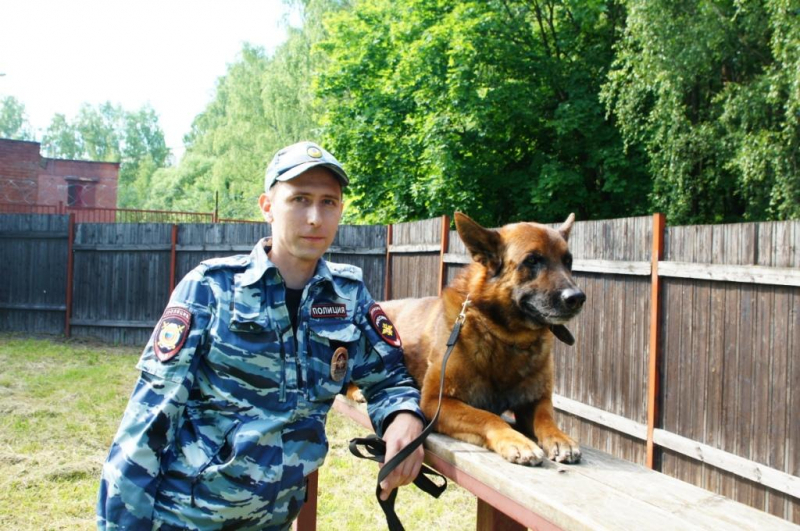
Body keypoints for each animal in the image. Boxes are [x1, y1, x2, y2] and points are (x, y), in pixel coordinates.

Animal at [356, 212, 585, 465]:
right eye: (532, 260)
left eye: (568, 262)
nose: (577, 298)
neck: (506, 338)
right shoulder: (435, 402)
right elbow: (488, 417)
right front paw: (516, 440)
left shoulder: (535, 401)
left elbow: (546, 418)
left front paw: (560, 437)